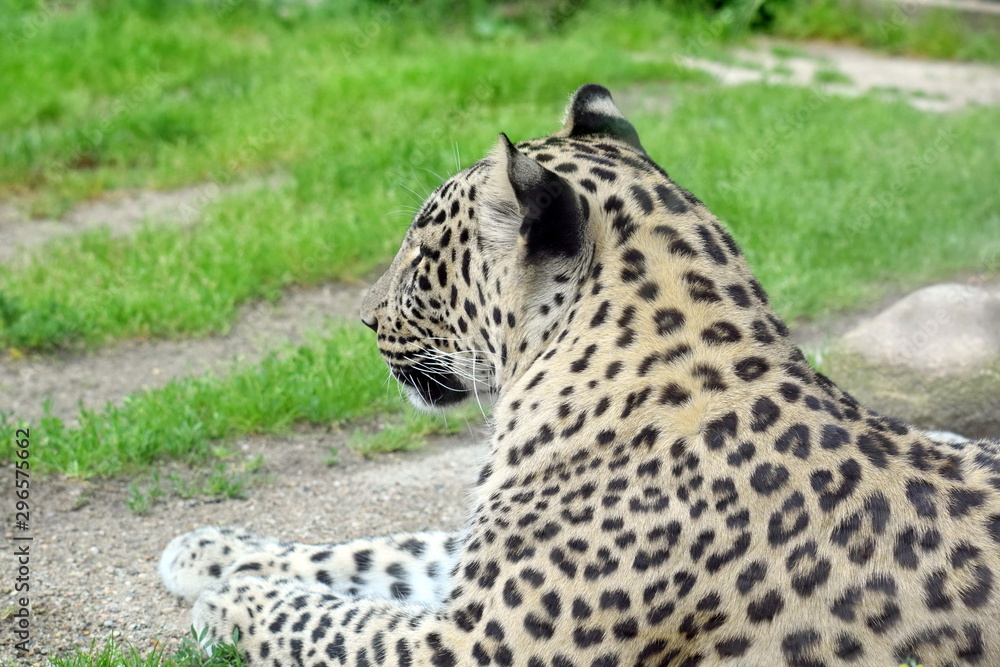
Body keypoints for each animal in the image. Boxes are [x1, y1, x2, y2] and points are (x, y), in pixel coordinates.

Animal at [161, 83, 1000, 666]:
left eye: (421, 255)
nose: (364, 319)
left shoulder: (471, 646)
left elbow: (327, 619)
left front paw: (232, 596)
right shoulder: (476, 573)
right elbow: (389, 548)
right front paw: (209, 549)